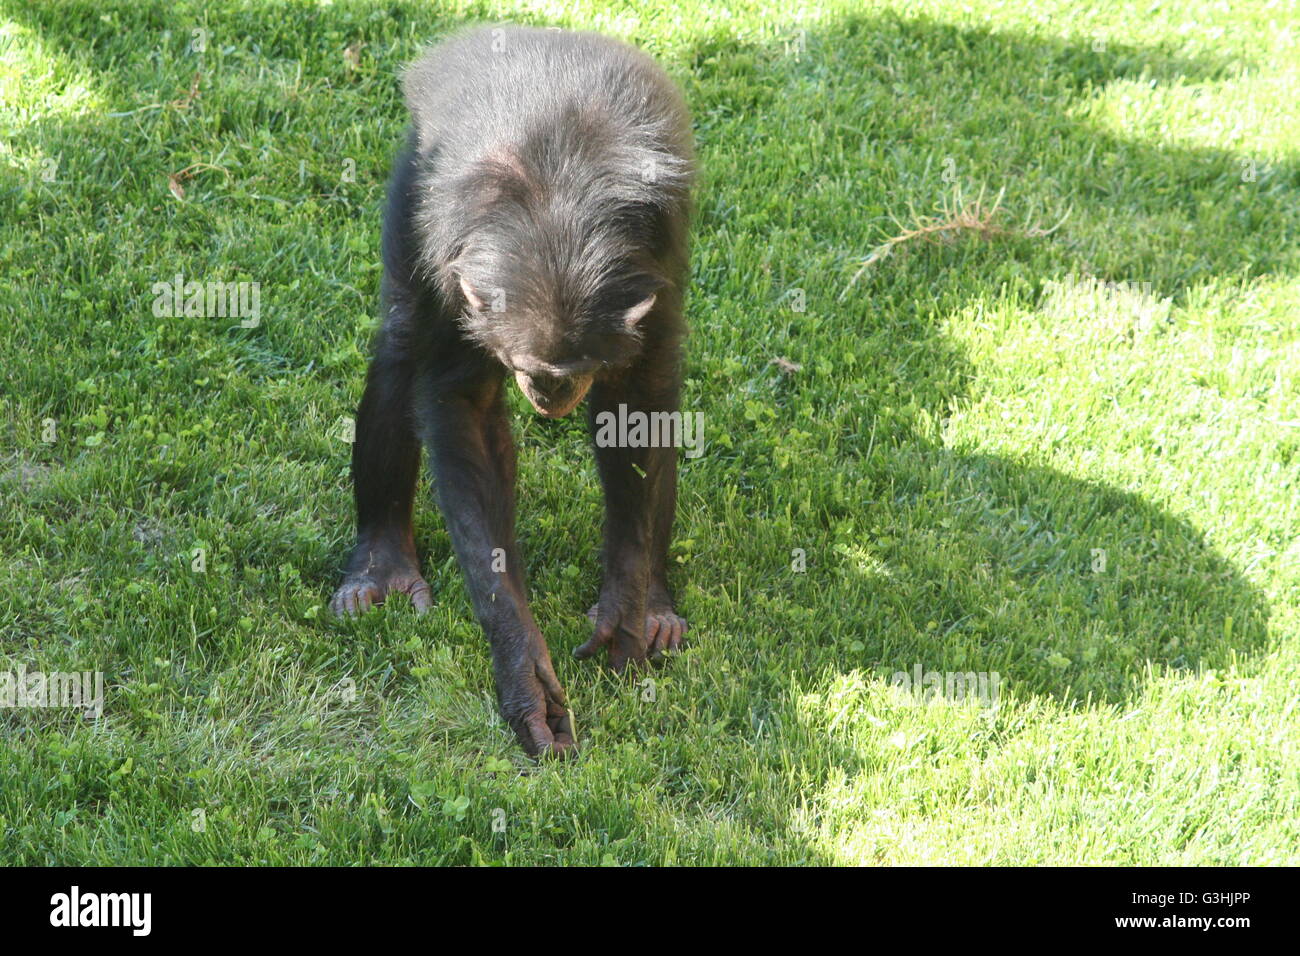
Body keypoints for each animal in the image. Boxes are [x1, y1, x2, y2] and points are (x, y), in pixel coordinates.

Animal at [330, 25, 694, 758]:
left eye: (574, 366)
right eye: (537, 367)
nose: (548, 388)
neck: (558, 216)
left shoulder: (654, 265)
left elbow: (639, 411)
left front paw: (626, 606)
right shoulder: (453, 265)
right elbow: (463, 411)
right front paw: (523, 665)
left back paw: (657, 605)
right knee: (401, 344)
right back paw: (380, 564)